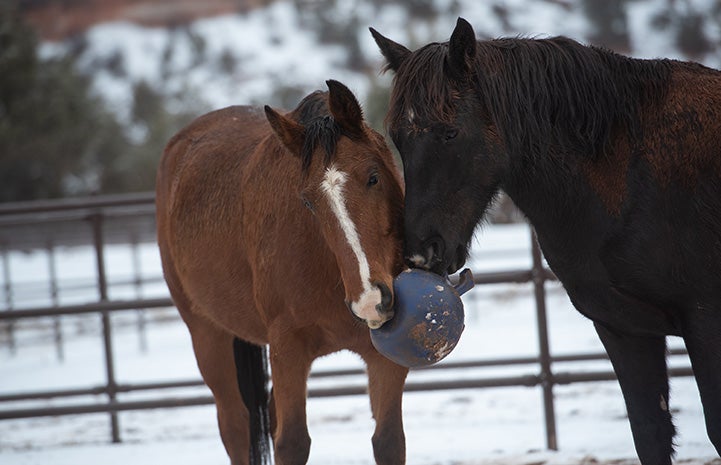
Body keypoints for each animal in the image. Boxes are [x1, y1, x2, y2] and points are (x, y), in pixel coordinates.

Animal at [155, 80, 408, 464]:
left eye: (374, 177)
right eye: (308, 202)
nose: (370, 301)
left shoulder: (385, 356)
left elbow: (389, 441)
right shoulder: (287, 349)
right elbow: (292, 443)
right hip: (207, 336)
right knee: (235, 426)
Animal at [372, 16, 720, 462]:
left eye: (450, 133)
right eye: (398, 137)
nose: (422, 252)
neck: (627, 175)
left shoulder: (706, 322)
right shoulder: (626, 331)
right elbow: (650, 434)